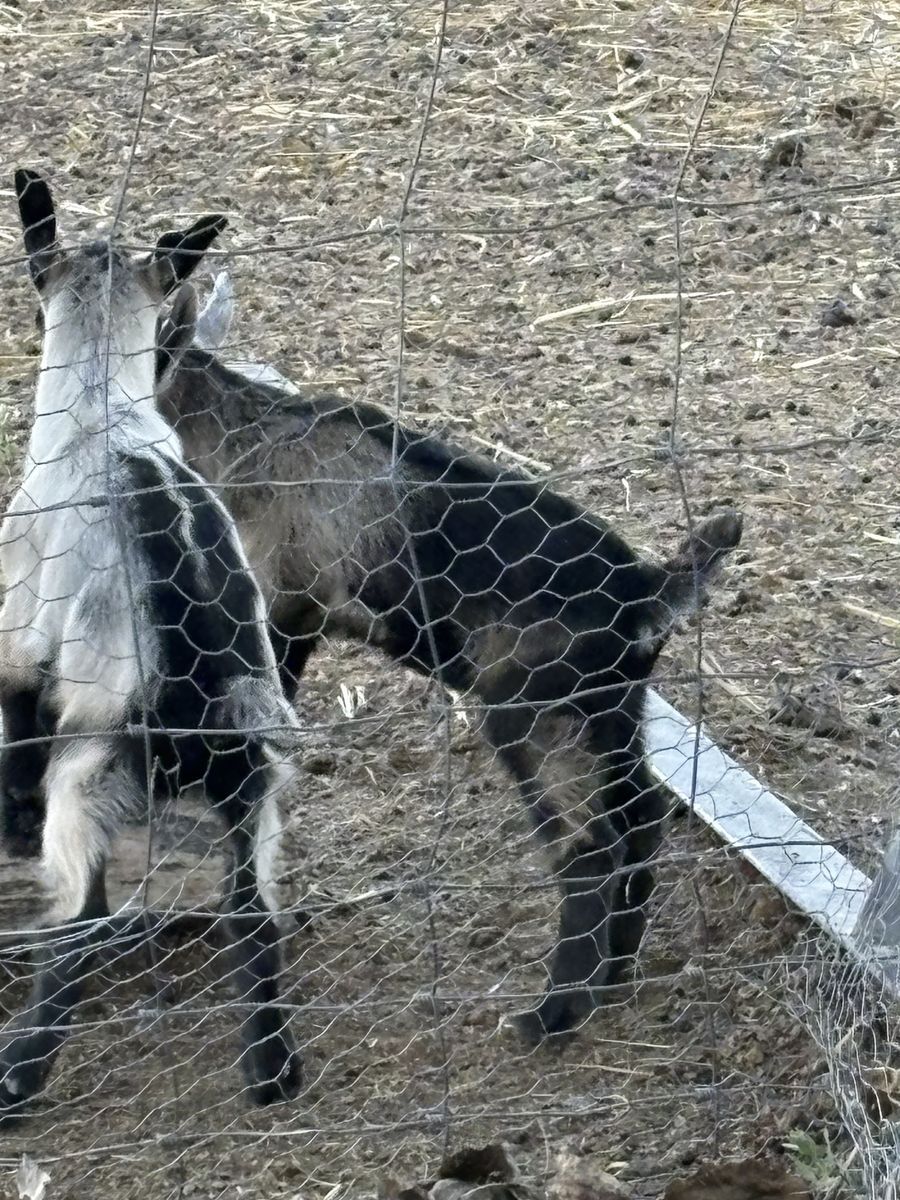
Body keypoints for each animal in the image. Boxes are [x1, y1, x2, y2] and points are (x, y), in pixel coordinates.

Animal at [0, 173, 302, 1115]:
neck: (103, 413)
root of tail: (212, 692)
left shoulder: (21, 634)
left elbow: (15, 725)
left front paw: (9, 826)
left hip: (92, 779)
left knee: (81, 913)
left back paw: (19, 1073)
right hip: (253, 789)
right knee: (252, 908)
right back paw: (271, 1070)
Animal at [150, 277, 744, 1043]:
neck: (239, 434)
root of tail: (645, 592)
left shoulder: (282, 609)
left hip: (530, 714)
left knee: (590, 846)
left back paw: (551, 1016)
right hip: (611, 713)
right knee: (641, 818)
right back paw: (612, 976)